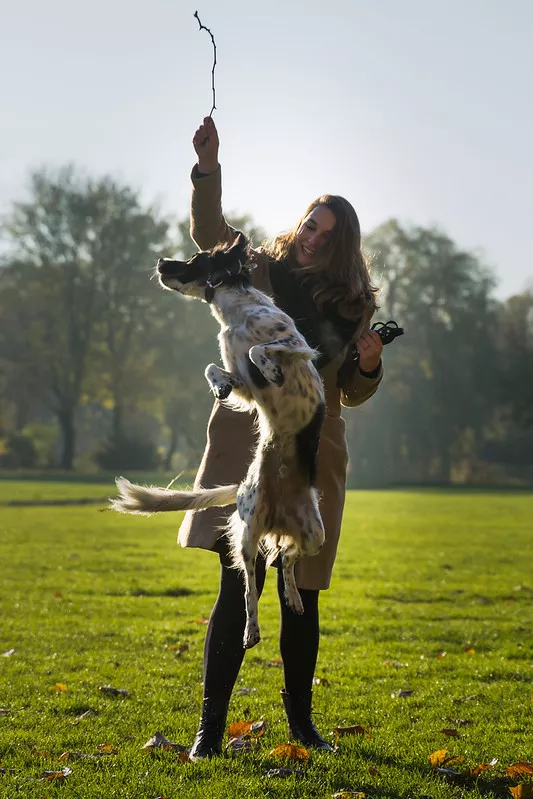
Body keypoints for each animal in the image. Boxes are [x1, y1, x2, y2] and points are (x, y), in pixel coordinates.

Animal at [112, 233, 324, 648]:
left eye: (194, 258)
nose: (160, 261)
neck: (235, 315)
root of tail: (277, 513)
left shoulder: (296, 342)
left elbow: (260, 349)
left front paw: (272, 370)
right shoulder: (244, 384)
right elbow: (215, 368)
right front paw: (220, 385)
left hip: (314, 534)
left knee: (286, 558)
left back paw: (291, 598)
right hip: (248, 533)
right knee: (255, 580)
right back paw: (252, 629)